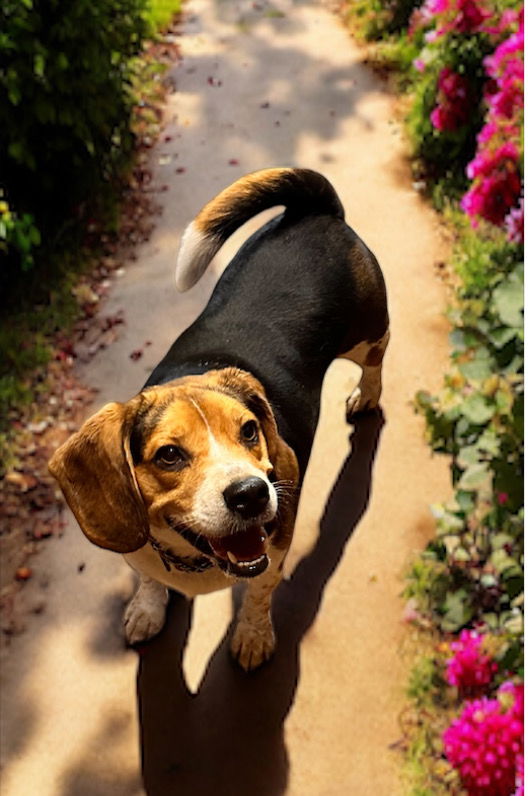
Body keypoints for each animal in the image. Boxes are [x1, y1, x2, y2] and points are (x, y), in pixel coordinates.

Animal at [48, 169, 388, 672]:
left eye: (249, 430)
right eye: (169, 455)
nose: (251, 494)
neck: (195, 558)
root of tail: (315, 207)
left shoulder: (276, 547)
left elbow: (259, 592)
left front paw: (252, 636)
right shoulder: (140, 553)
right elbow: (148, 579)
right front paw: (147, 609)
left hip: (366, 336)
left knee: (374, 364)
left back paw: (366, 396)